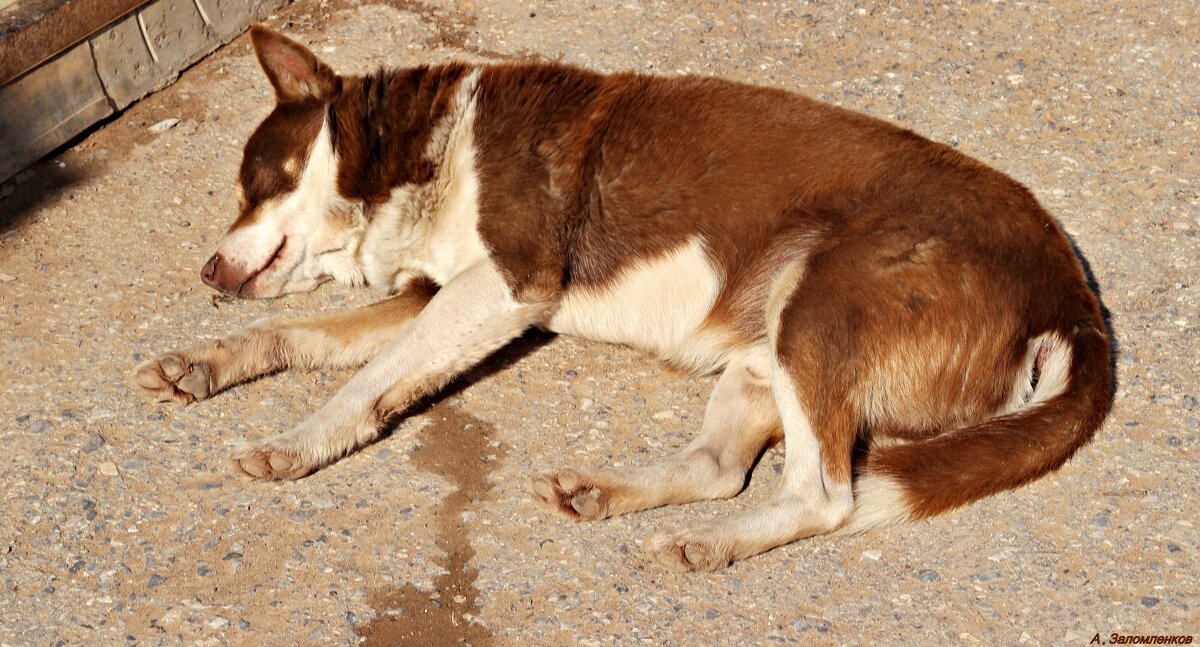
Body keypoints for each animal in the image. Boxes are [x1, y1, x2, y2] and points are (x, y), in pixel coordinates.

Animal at [133, 25, 1113, 571]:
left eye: (257, 181)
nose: (208, 272)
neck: (431, 148)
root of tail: (1070, 293)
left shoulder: (506, 285)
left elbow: (366, 377)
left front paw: (297, 443)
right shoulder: (436, 295)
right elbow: (303, 333)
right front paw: (202, 362)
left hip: (820, 301)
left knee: (826, 494)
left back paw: (715, 546)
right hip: (767, 343)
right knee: (721, 469)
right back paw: (610, 496)